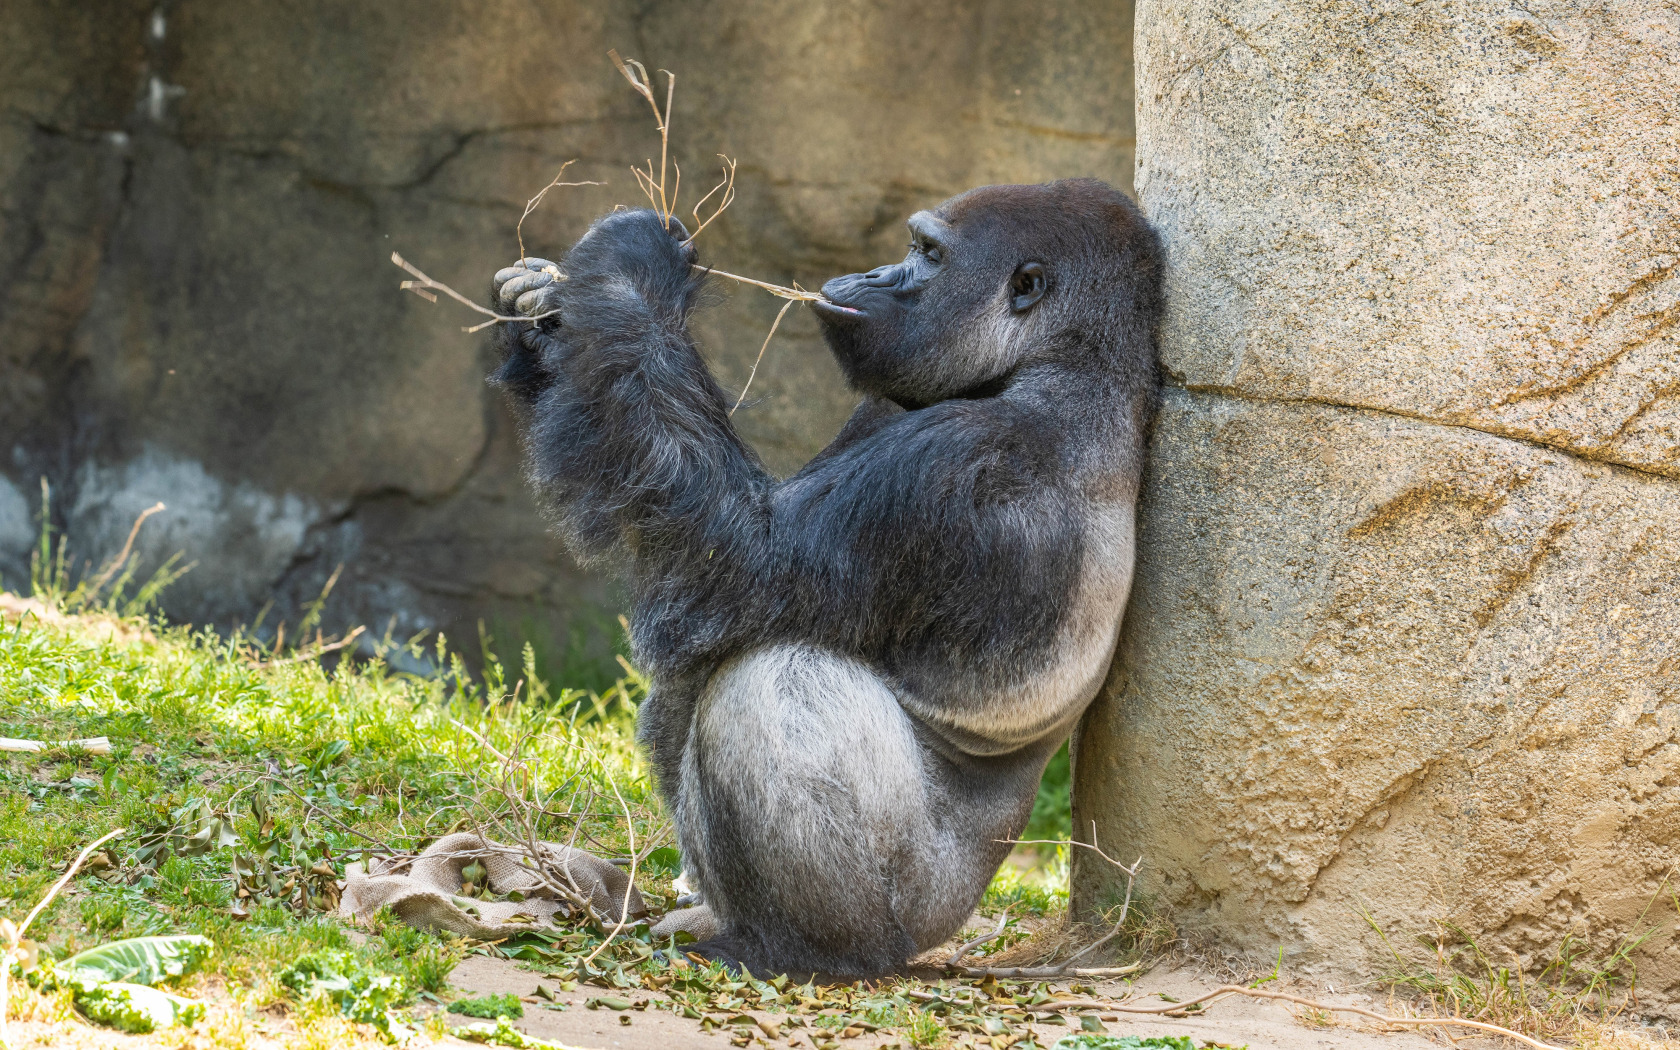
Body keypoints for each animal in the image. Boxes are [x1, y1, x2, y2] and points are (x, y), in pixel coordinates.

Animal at [490, 178, 1162, 974]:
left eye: (927, 253)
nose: (869, 275)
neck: (1064, 366)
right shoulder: (889, 406)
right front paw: (538, 318)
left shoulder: (963, 465)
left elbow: (741, 556)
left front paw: (628, 269)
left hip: (920, 913)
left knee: (778, 675)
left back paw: (800, 947)